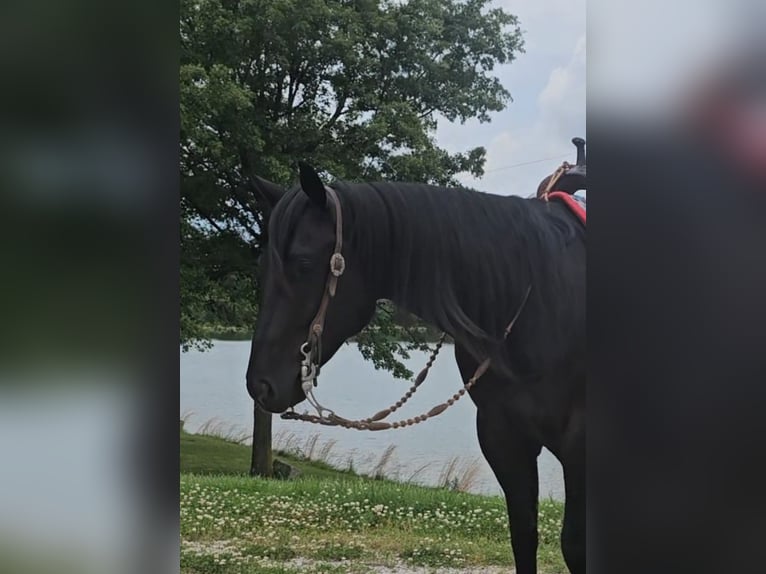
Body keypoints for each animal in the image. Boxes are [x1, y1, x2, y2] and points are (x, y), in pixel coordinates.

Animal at [246, 163, 588, 574]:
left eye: (303, 263)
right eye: (263, 266)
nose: (260, 385)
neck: (541, 298)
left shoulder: (581, 445)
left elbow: (576, 547)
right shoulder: (504, 437)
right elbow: (523, 536)